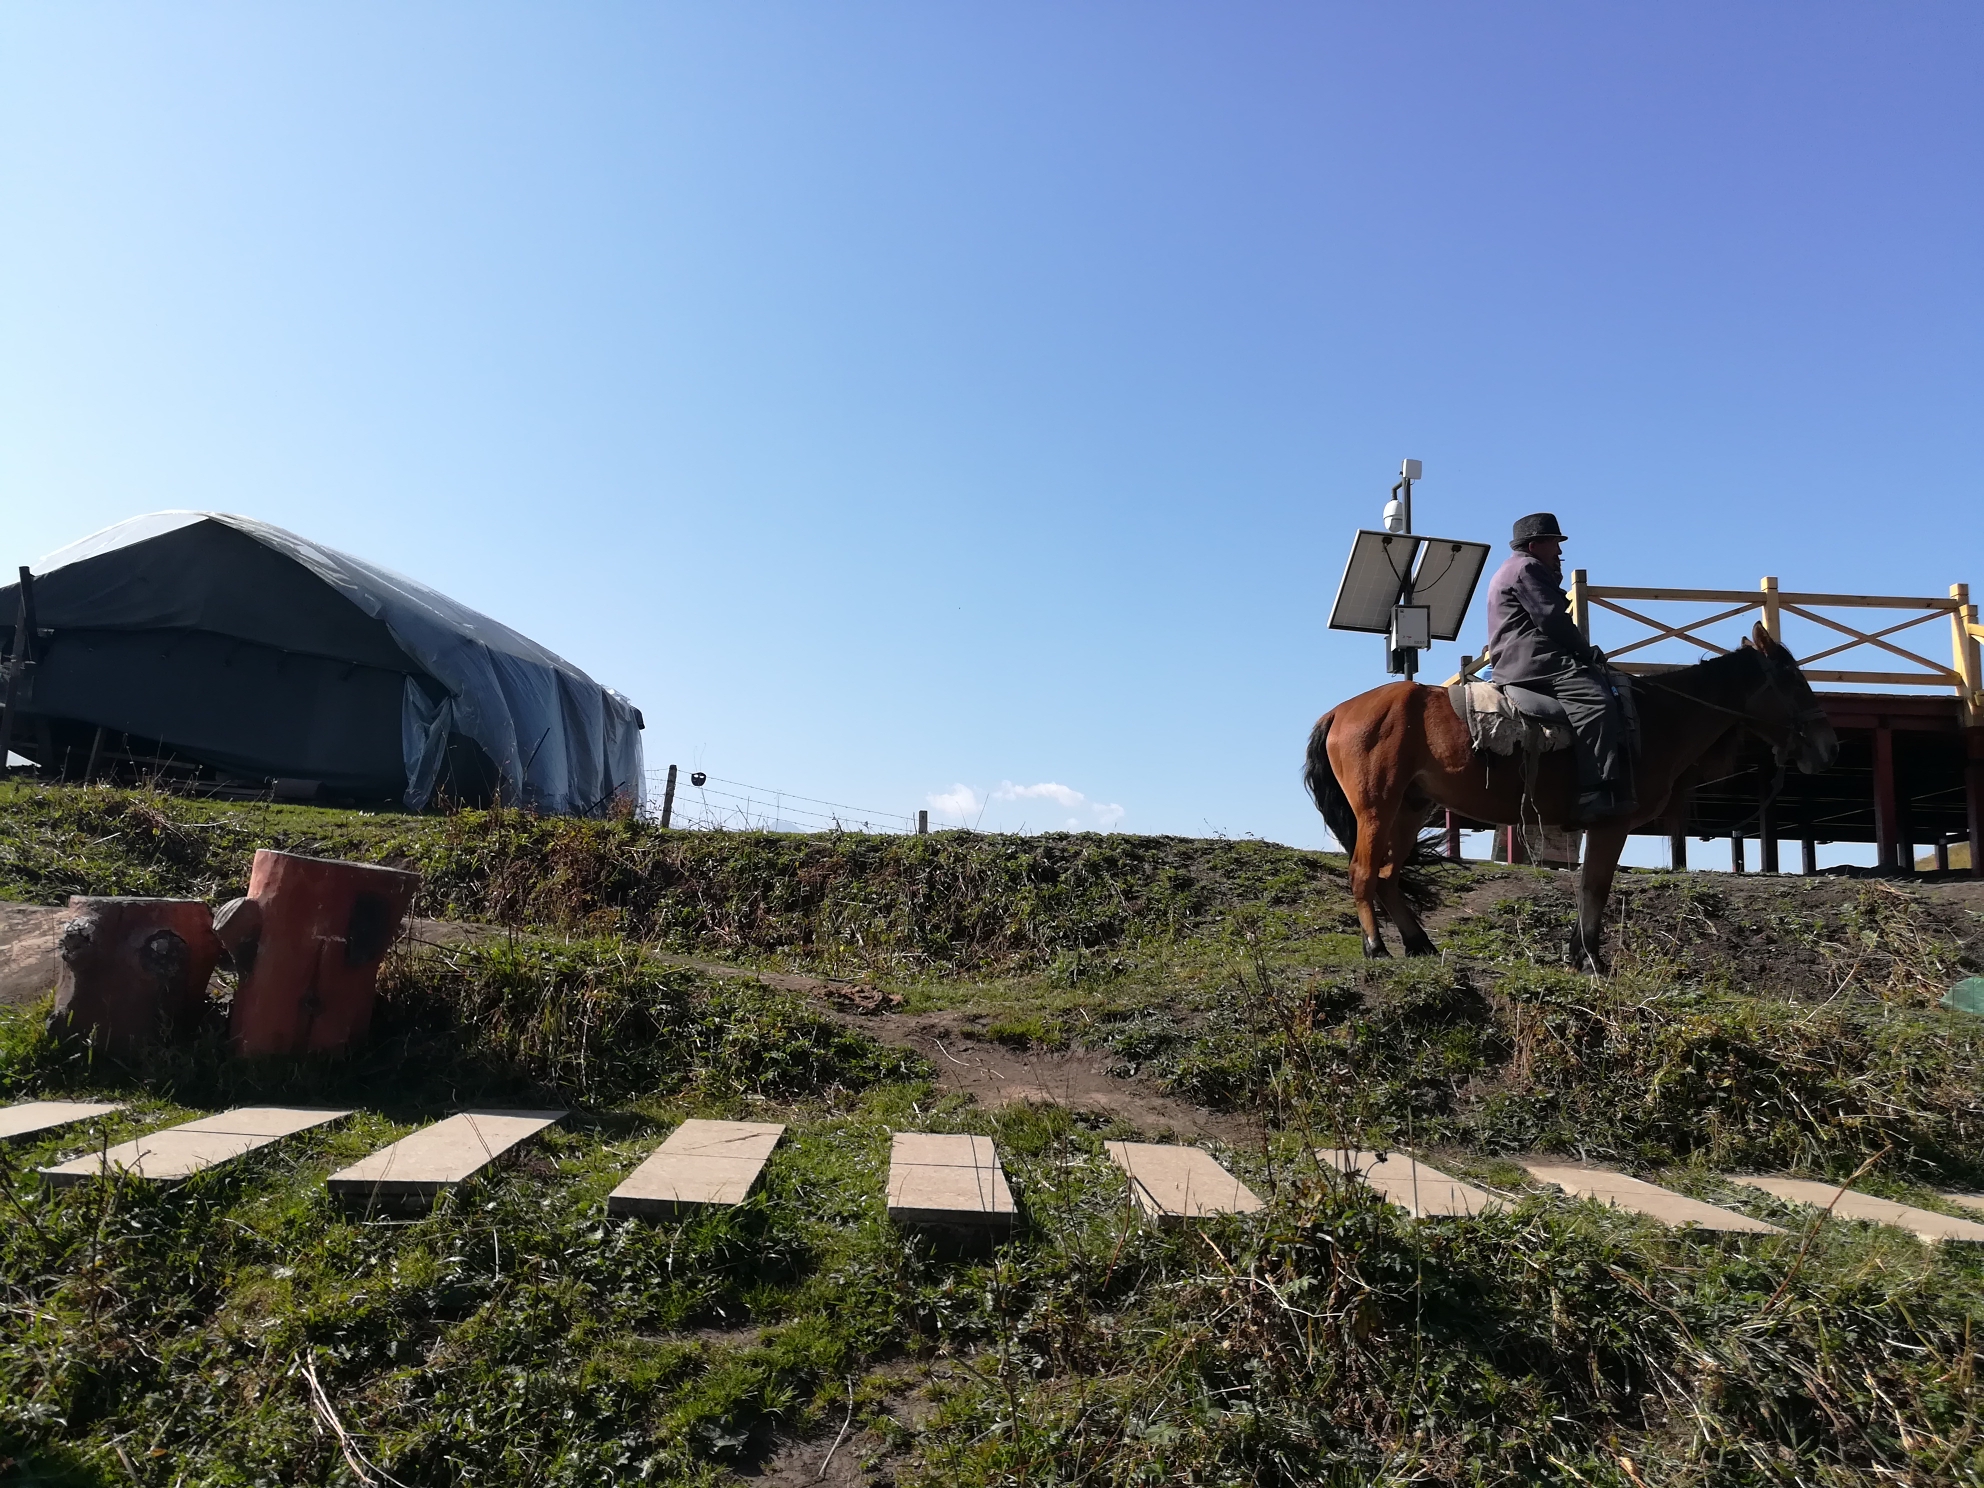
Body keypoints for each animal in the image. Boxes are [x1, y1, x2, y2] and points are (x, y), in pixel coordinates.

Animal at [1301, 622, 1841, 972]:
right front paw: (1590, 958)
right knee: (1364, 872)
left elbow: (1586, 887)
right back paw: (1376, 946)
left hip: (1411, 808)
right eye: (1791, 677)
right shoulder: (1611, 824)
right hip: (1377, 806)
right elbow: (1595, 888)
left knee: (1388, 876)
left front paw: (1579, 953)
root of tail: (1341, 711)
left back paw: (1418, 943)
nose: (1827, 746)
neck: (1655, 718)